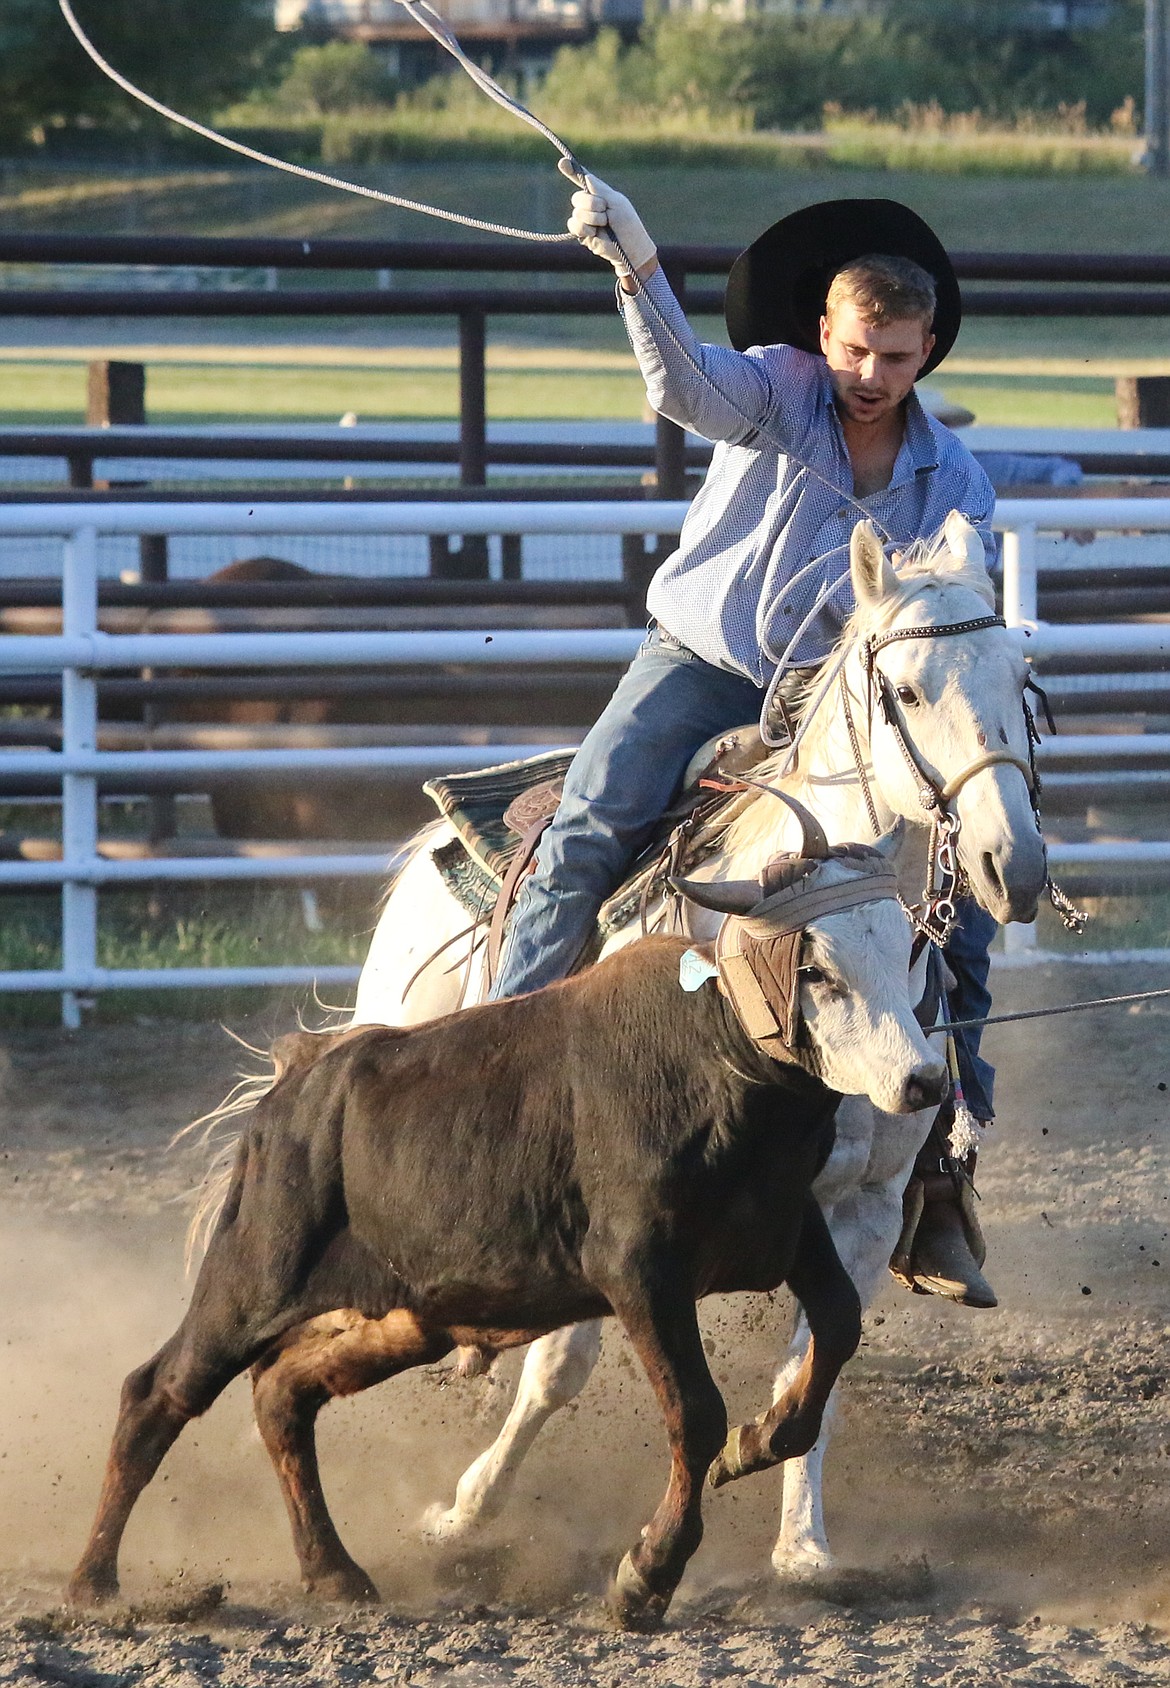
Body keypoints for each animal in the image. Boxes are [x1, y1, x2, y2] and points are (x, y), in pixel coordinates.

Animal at [349, 513, 1046, 1579]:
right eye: (907, 690)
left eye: (1021, 679)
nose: (1015, 864)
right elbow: (561, 1366)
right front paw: (465, 1510)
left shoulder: (864, 1205)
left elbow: (818, 1370)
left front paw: (801, 1542)